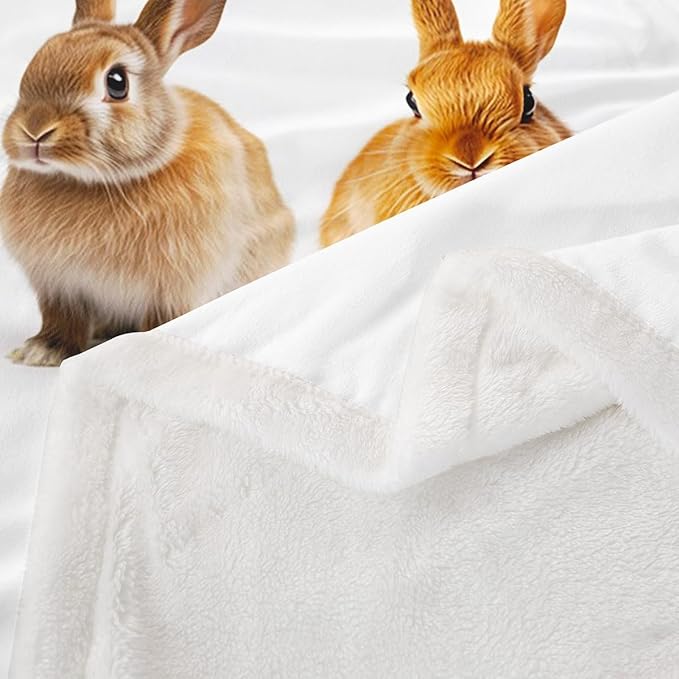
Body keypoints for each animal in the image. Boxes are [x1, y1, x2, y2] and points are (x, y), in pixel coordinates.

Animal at [0, 0, 295, 367]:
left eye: (117, 82)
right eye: (39, 56)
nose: (35, 130)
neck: (95, 181)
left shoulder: (172, 288)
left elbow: (161, 322)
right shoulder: (59, 284)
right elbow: (62, 318)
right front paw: (41, 352)